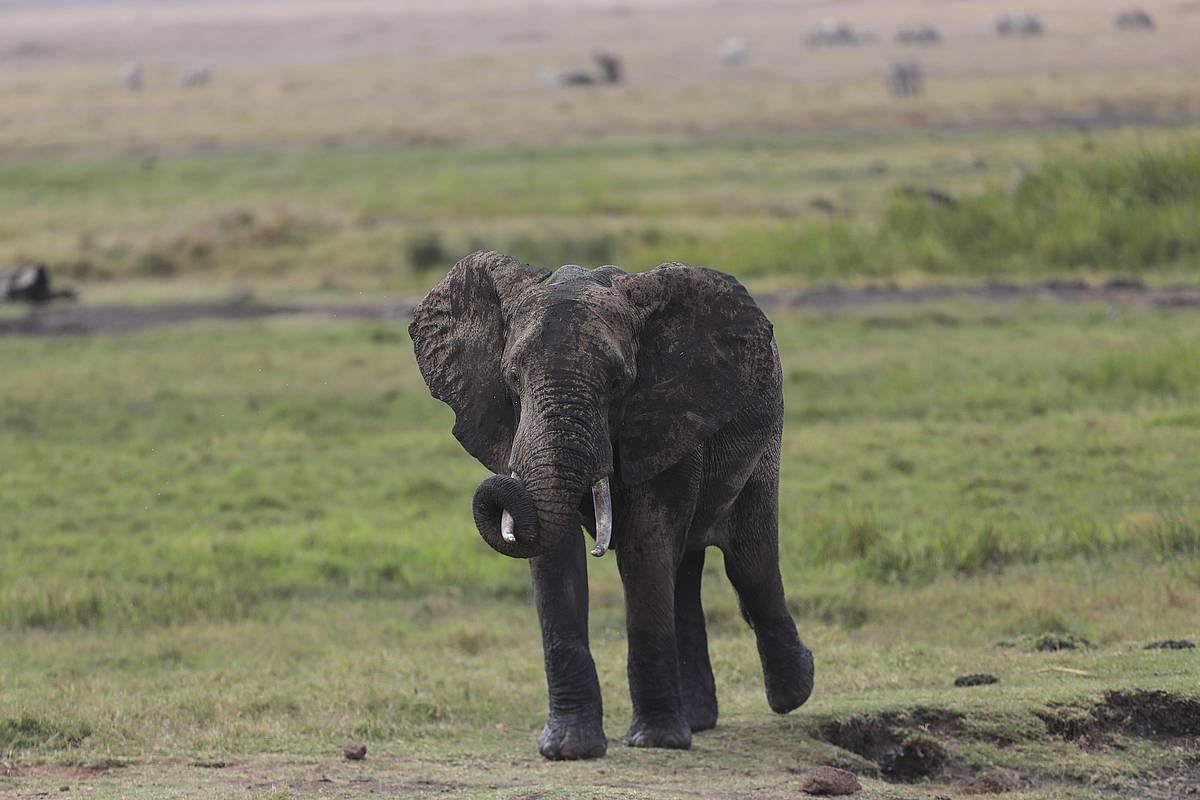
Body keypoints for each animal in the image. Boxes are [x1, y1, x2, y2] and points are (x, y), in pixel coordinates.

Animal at [405, 253, 816, 762]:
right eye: (512, 378)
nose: (496, 486)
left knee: (748, 562)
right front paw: (567, 749)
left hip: (766, 433)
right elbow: (555, 556)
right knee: (685, 572)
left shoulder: (666, 415)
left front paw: (655, 743)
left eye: (619, 382)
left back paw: (793, 693)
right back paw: (699, 720)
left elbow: (645, 544)